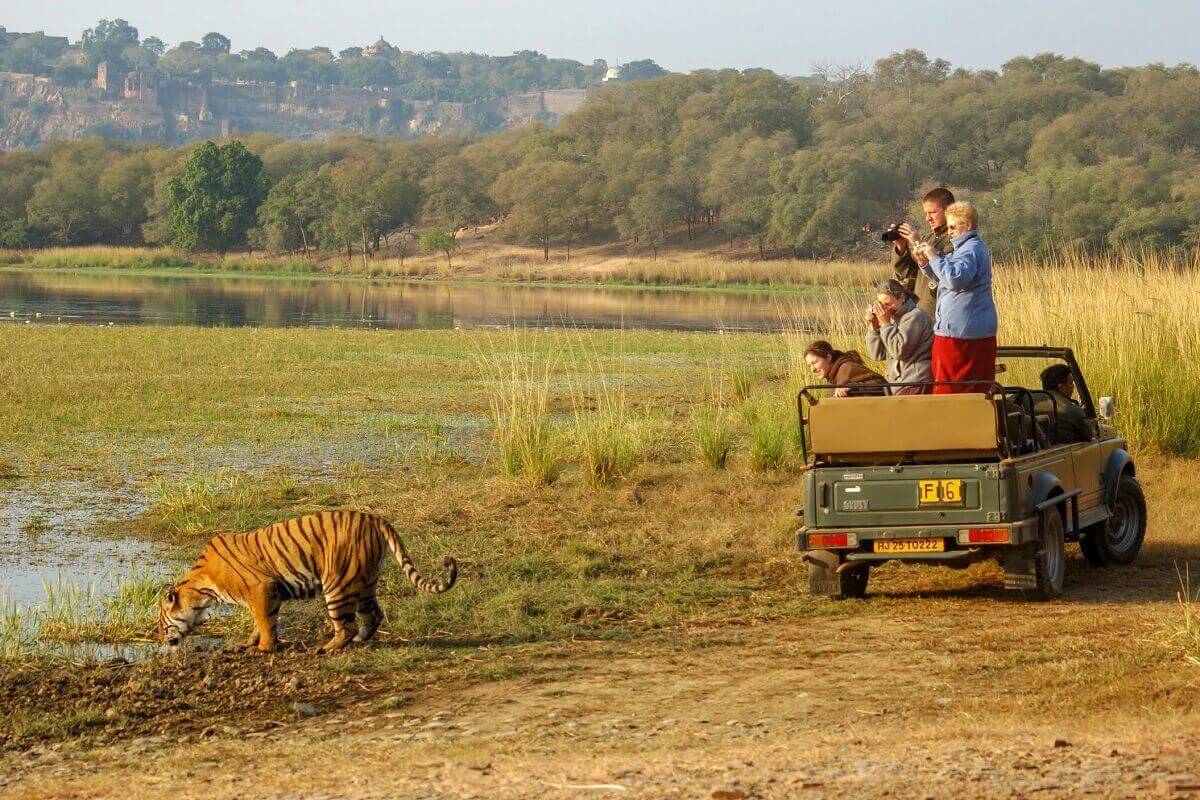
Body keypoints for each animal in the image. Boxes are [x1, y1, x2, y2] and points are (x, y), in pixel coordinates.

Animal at [157, 510, 456, 652]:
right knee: (373, 615)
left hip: (338, 584)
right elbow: (259, 623)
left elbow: (265, 623)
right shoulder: (263, 595)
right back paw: (359, 641)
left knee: (345, 626)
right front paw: (249, 644)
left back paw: (324, 649)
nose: (160, 640)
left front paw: (263, 649)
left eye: (160, 623)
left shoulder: (261, 589)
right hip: (366, 582)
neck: (201, 588)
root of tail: (374, 518)